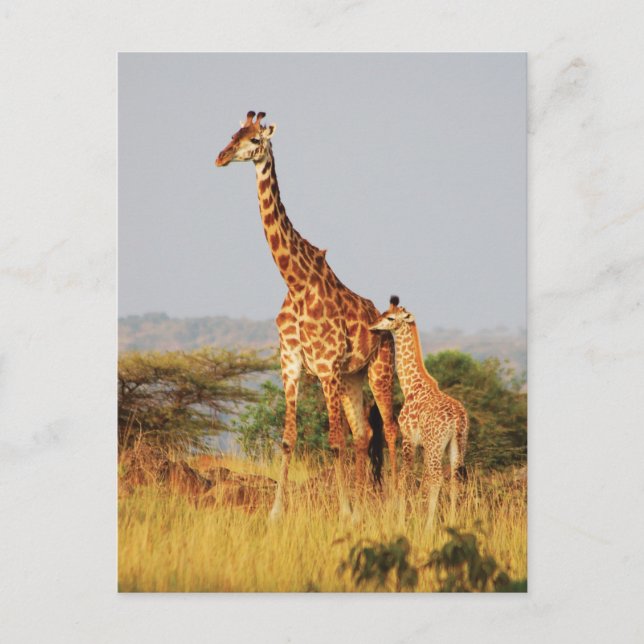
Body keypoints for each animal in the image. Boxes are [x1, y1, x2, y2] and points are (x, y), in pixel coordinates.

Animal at [215, 111, 398, 519]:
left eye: (254, 140)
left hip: (378, 371)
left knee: (391, 430)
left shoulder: (327, 367)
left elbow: (333, 442)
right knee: (364, 434)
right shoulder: (291, 365)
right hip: (353, 378)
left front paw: (343, 511)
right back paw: (364, 503)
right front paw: (275, 512)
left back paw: (400, 499)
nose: (220, 157)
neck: (296, 283)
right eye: (233, 133)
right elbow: (288, 439)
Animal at [369, 296, 469, 531]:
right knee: (453, 479)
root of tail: (458, 419)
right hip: (457, 444)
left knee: (437, 478)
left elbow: (405, 478)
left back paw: (429, 527)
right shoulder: (423, 445)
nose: (373, 325)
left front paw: (400, 522)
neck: (412, 385)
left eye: (390, 317)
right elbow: (420, 480)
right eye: (385, 311)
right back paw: (451, 523)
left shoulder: (408, 437)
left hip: (436, 445)